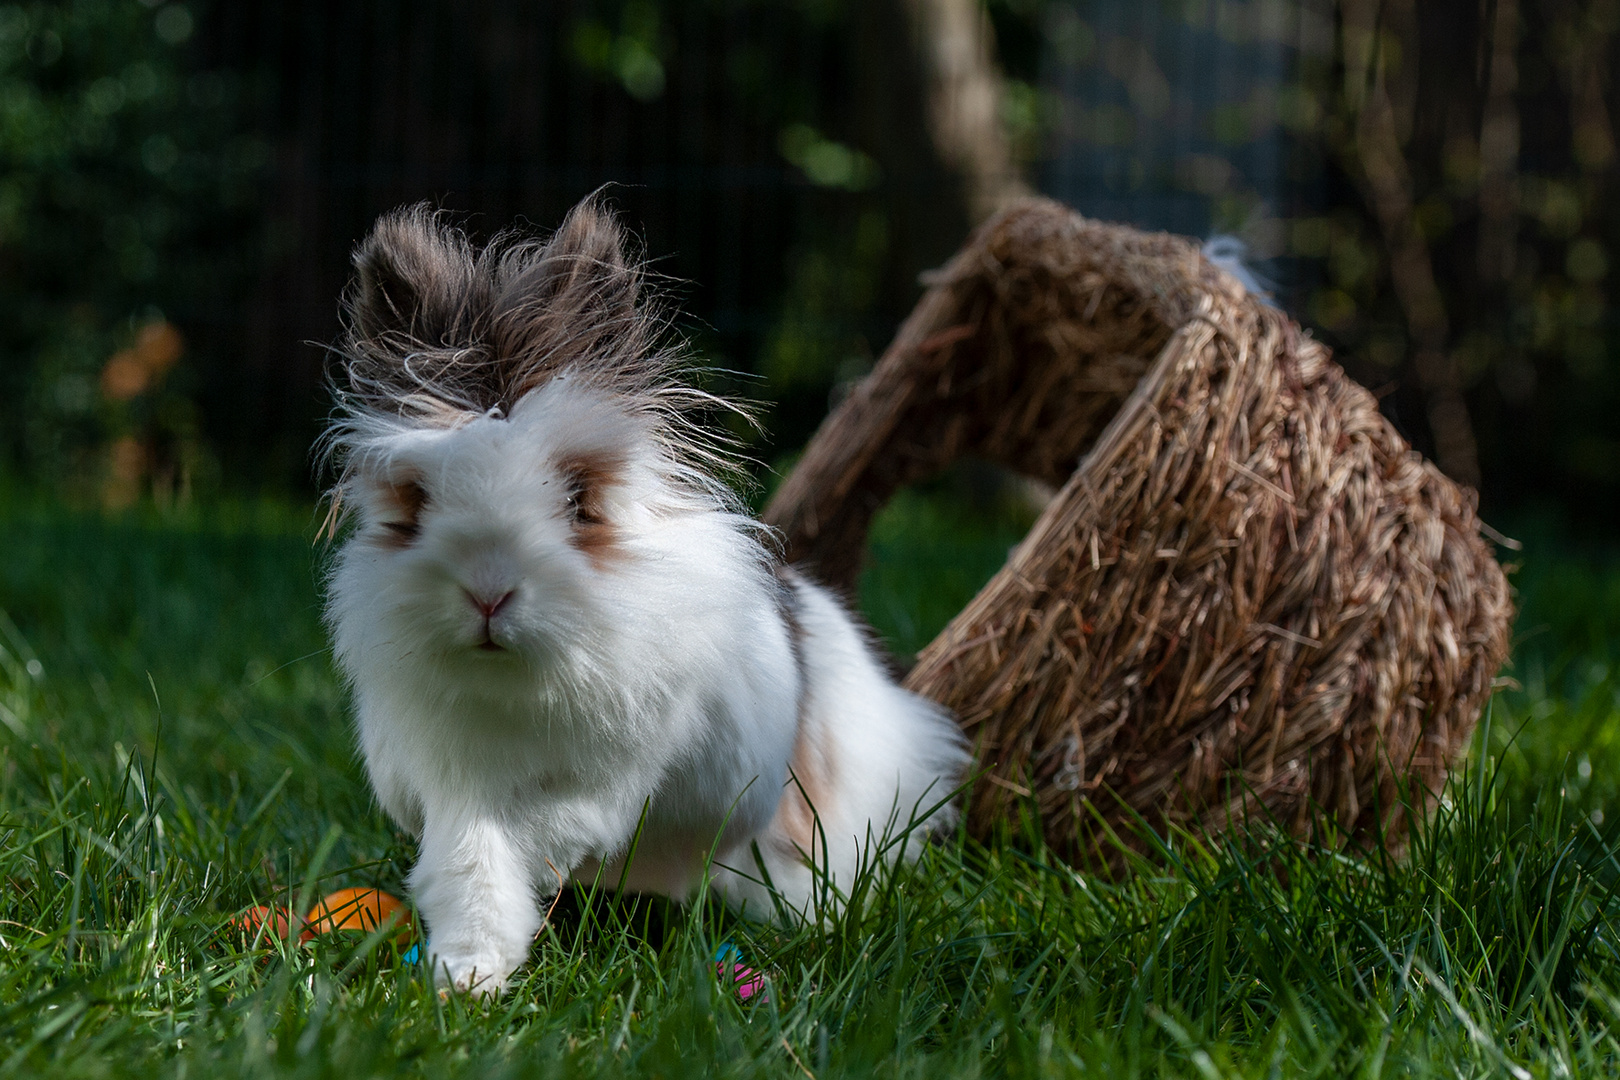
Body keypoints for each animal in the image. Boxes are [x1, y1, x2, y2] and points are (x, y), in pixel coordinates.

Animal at [322, 198, 965, 1003]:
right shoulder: (452, 787)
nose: (489, 593)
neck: (519, 684)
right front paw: (468, 978)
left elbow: (546, 826)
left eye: (577, 499)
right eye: (417, 500)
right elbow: (471, 864)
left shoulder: (616, 779)